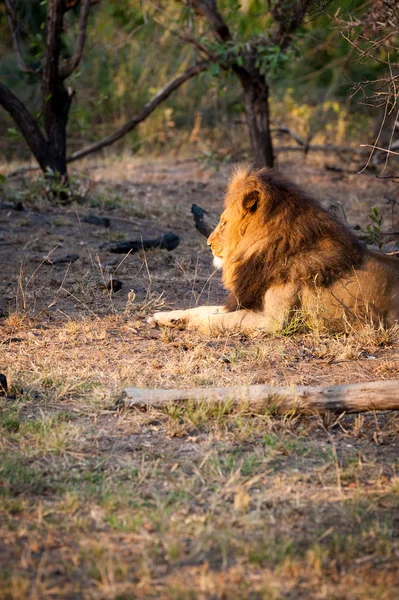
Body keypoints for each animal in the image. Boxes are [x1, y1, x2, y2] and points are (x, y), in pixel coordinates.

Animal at [149, 165, 399, 332]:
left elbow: (214, 318)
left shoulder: (274, 321)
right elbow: (201, 308)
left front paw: (194, 324)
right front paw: (165, 317)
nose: (208, 243)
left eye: (224, 223)